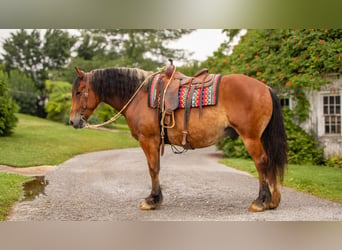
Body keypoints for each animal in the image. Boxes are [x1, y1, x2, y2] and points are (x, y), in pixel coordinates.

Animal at [69, 65, 286, 212]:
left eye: (79, 92)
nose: (72, 121)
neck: (140, 96)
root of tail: (265, 88)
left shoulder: (148, 140)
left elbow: (153, 168)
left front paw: (152, 200)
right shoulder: (155, 142)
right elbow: (155, 168)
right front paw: (155, 198)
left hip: (250, 137)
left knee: (261, 163)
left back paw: (260, 201)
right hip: (260, 137)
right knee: (268, 163)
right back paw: (272, 201)